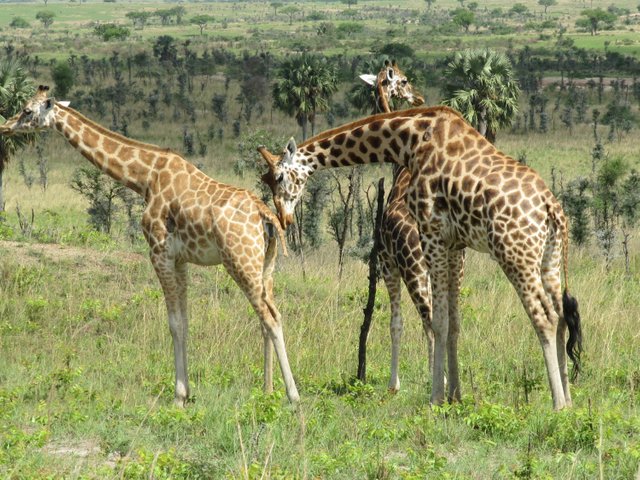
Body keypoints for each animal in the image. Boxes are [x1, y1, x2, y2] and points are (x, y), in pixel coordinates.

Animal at [0, 85, 302, 404]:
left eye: (27, 110)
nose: (5, 126)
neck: (145, 178)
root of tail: (266, 215)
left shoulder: (158, 252)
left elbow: (174, 323)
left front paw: (178, 397)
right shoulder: (179, 258)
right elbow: (185, 321)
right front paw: (186, 393)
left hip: (240, 261)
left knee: (271, 317)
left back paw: (294, 398)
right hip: (266, 265)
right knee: (267, 316)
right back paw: (269, 391)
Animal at [258, 107, 584, 410]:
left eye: (279, 177)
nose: (284, 219)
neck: (410, 140)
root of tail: (551, 208)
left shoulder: (431, 231)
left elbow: (436, 321)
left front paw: (436, 398)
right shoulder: (454, 244)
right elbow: (453, 321)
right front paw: (455, 395)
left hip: (514, 253)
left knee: (545, 316)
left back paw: (557, 403)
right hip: (549, 258)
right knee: (561, 316)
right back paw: (569, 401)